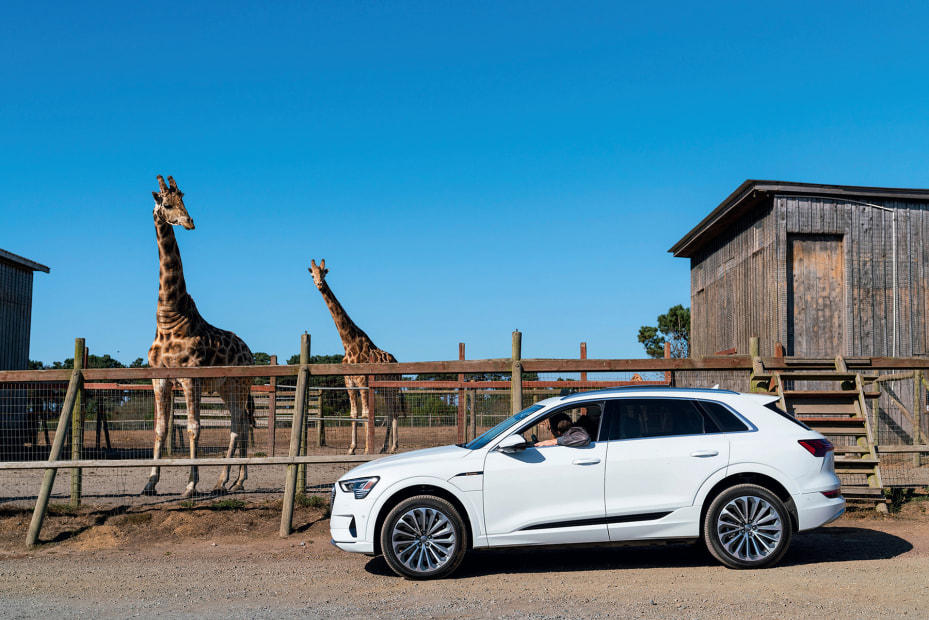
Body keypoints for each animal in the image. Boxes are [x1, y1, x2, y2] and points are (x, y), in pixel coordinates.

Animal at [143, 174, 256, 498]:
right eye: (167, 204)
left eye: (184, 200)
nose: (190, 222)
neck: (169, 317)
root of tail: (250, 352)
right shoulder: (160, 379)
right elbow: (160, 429)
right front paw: (150, 483)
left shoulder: (189, 377)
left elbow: (194, 427)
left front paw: (191, 485)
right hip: (225, 388)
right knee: (241, 425)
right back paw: (235, 481)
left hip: (239, 386)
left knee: (237, 425)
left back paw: (222, 481)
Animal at [308, 258, 402, 456]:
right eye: (312, 275)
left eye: (324, 273)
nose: (319, 285)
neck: (348, 343)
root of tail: (398, 363)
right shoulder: (349, 382)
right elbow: (354, 414)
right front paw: (351, 448)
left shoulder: (362, 381)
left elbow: (366, 414)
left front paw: (366, 449)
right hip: (383, 389)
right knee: (390, 412)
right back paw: (384, 447)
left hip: (392, 387)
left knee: (394, 412)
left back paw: (392, 447)